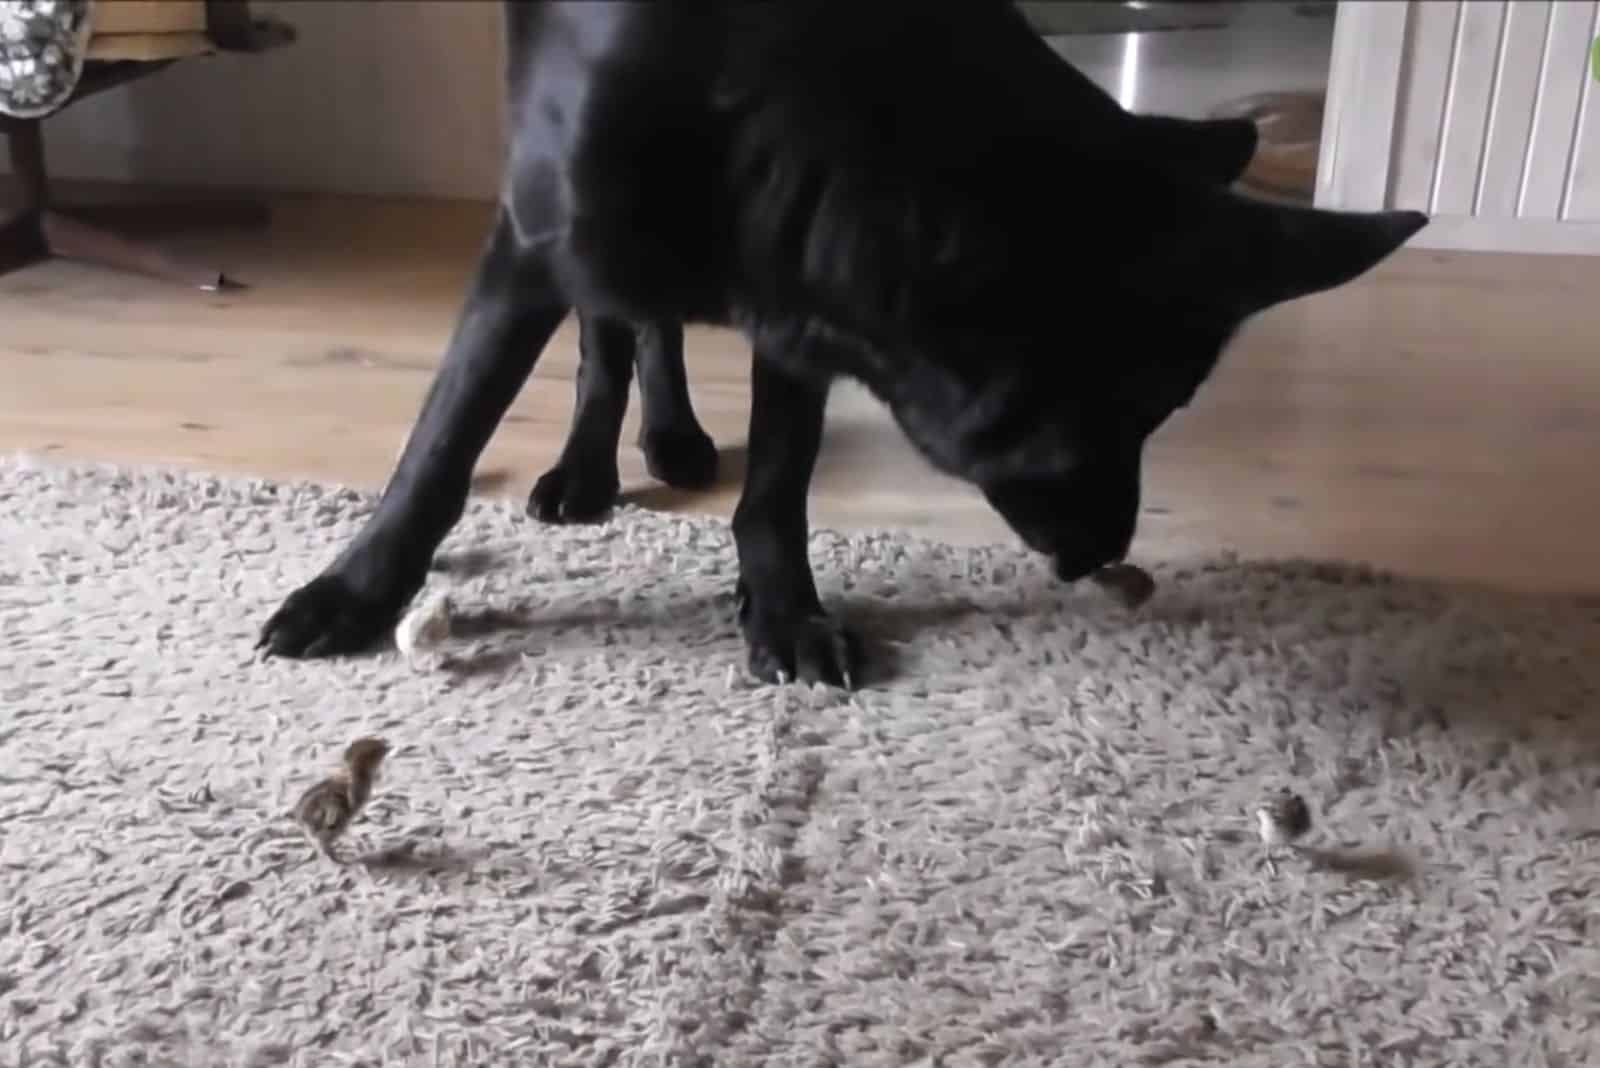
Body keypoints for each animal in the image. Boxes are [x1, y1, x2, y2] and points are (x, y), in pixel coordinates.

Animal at [259, 0, 1427, 684]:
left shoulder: (797, 280)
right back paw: (590, 464)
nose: (1104, 557)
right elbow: (443, 440)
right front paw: (354, 592)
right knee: (609, 331)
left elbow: (779, 479)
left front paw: (782, 609)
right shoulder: (540, 233)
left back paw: (673, 434)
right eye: (1133, 412)